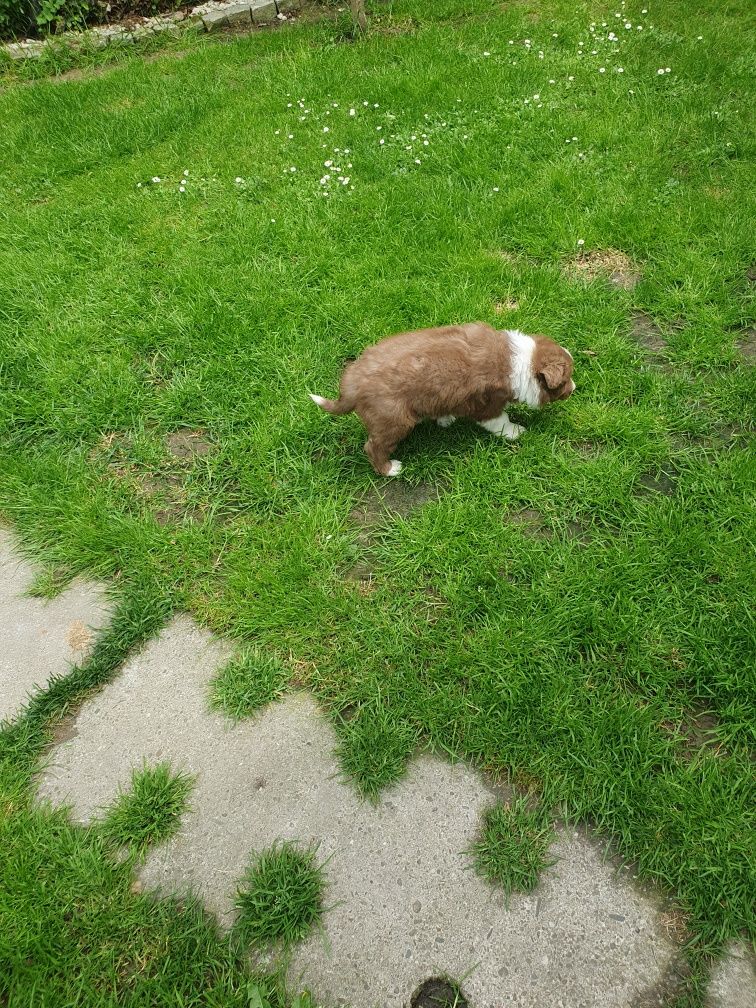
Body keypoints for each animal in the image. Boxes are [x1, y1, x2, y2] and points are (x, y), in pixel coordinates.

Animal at [310, 324, 576, 477]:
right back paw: (389, 469)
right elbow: (500, 420)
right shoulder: (488, 404)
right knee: (373, 446)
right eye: (566, 380)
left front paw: (445, 419)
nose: (574, 389)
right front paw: (515, 432)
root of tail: (352, 384)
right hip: (393, 420)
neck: (523, 361)